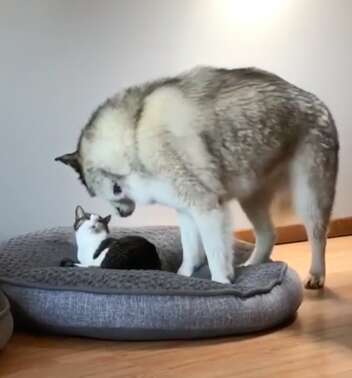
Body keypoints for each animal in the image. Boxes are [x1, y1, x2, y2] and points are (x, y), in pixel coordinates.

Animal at [56, 66, 340, 288]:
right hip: (251, 197)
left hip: (310, 196)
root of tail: (317, 100)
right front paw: (183, 276)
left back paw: (317, 274)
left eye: (100, 191)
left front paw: (221, 283)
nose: (121, 215)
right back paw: (252, 264)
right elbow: (190, 251)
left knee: (318, 235)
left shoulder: (206, 209)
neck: (132, 136)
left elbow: (215, 254)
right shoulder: (186, 211)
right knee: (269, 234)